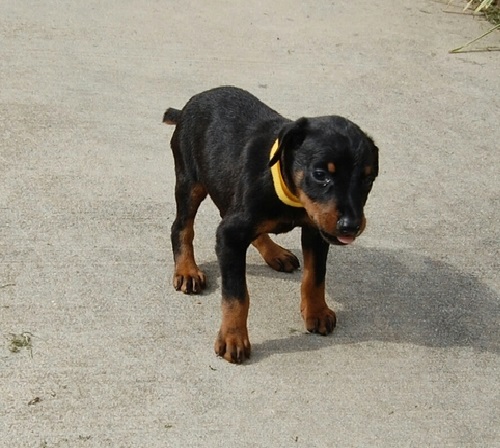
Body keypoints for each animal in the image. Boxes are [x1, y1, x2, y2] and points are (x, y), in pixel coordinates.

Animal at [164, 86, 378, 364]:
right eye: (320, 174)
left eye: (368, 179)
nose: (350, 226)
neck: (288, 192)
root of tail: (187, 106)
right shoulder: (230, 235)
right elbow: (236, 295)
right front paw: (233, 338)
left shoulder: (316, 231)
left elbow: (315, 276)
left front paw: (317, 311)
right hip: (189, 180)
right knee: (181, 226)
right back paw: (187, 271)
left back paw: (276, 253)